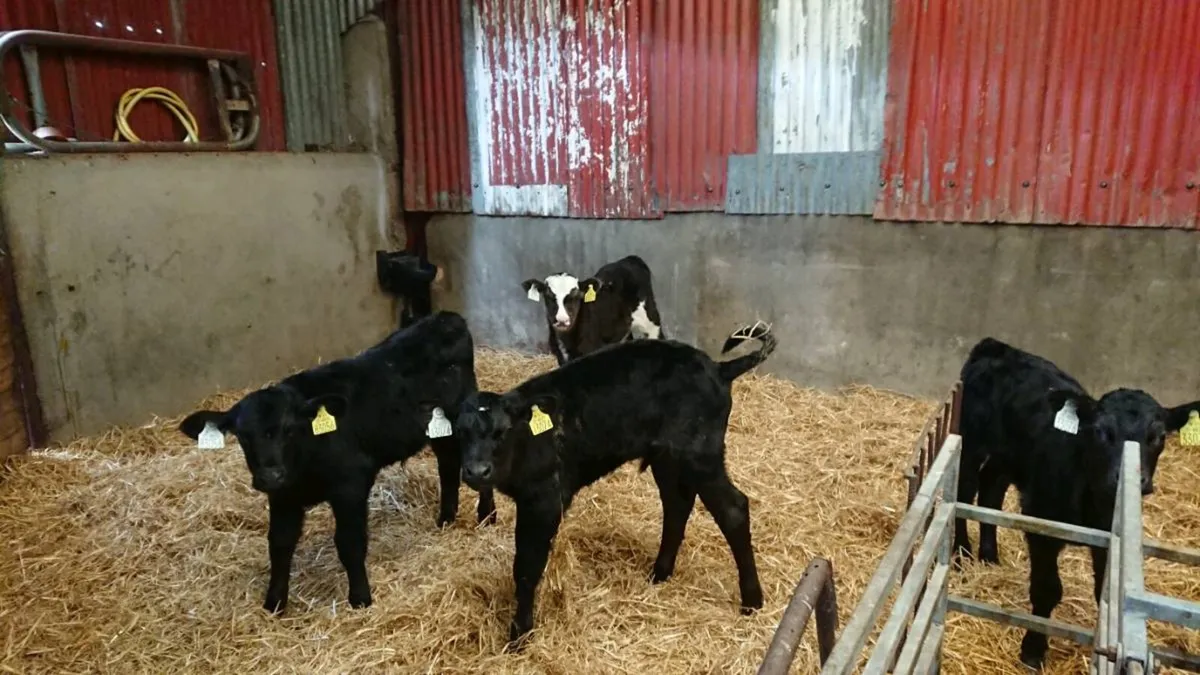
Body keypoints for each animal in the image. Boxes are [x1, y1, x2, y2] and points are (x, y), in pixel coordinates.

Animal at [177, 311, 496, 614]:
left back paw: (487, 515)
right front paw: (274, 603)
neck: (305, 460)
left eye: (289, 429)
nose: (270, 475)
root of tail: (444, 317)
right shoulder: (283, 496)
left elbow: (349, 543)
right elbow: (279, 544)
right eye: (243, 436)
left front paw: (360, 598)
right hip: (439, 429)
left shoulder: (350, 484)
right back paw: (446, 518)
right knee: (447, 465)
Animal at [455, 321, 776, 649]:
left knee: (733, 509)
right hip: (667, 457)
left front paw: (519, 634)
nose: (477, 471)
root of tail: (717, 368)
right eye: (460, 431)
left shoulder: (543, 499)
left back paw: (752, 601)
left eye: (502, 431)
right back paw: (660, 573)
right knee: (677, 505)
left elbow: (526, 567)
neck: (529, 440)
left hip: (700, 455)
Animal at [953, 337, 1200, 669]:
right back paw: (961, 553)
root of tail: (998, 346)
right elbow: (1046, 589)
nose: (1133, 478)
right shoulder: (1042, 525)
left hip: (1008, 459)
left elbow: (1103, 594)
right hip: (971, 440)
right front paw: (1033, 650)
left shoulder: (1109, 539)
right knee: (964, 491)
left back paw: (989, 555)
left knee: (992, 489)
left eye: (1158, 436)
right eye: (1101, 431)